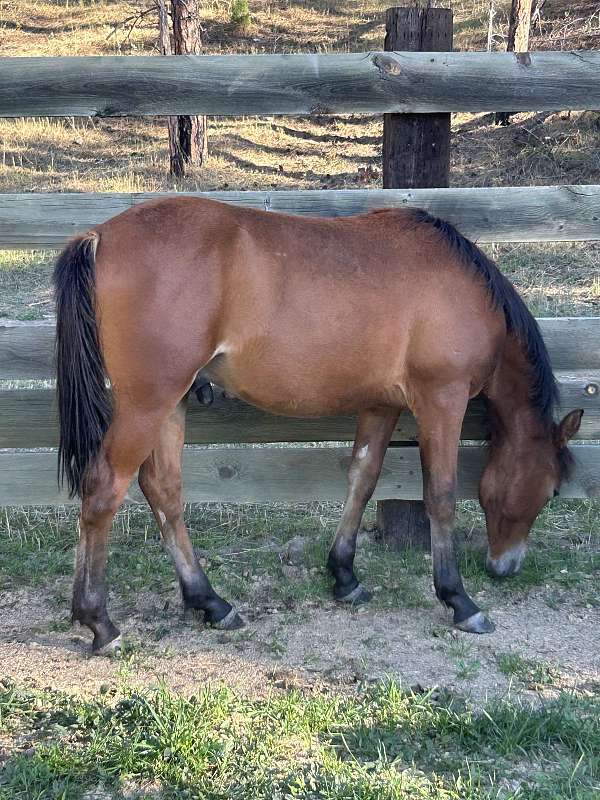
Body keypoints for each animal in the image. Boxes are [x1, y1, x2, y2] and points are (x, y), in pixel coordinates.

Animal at [55, 195, 580, 656]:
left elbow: (363, 479)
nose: (505, 567)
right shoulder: (441, 400)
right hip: (149, 402)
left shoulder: (381, 404)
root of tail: (98, 236)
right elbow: (442, 496)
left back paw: (209, 601)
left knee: (163, 490)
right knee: (104, 489)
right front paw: (458, 599)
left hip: (172, 402)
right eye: (552, 491)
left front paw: (344, 576)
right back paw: (99, 622)